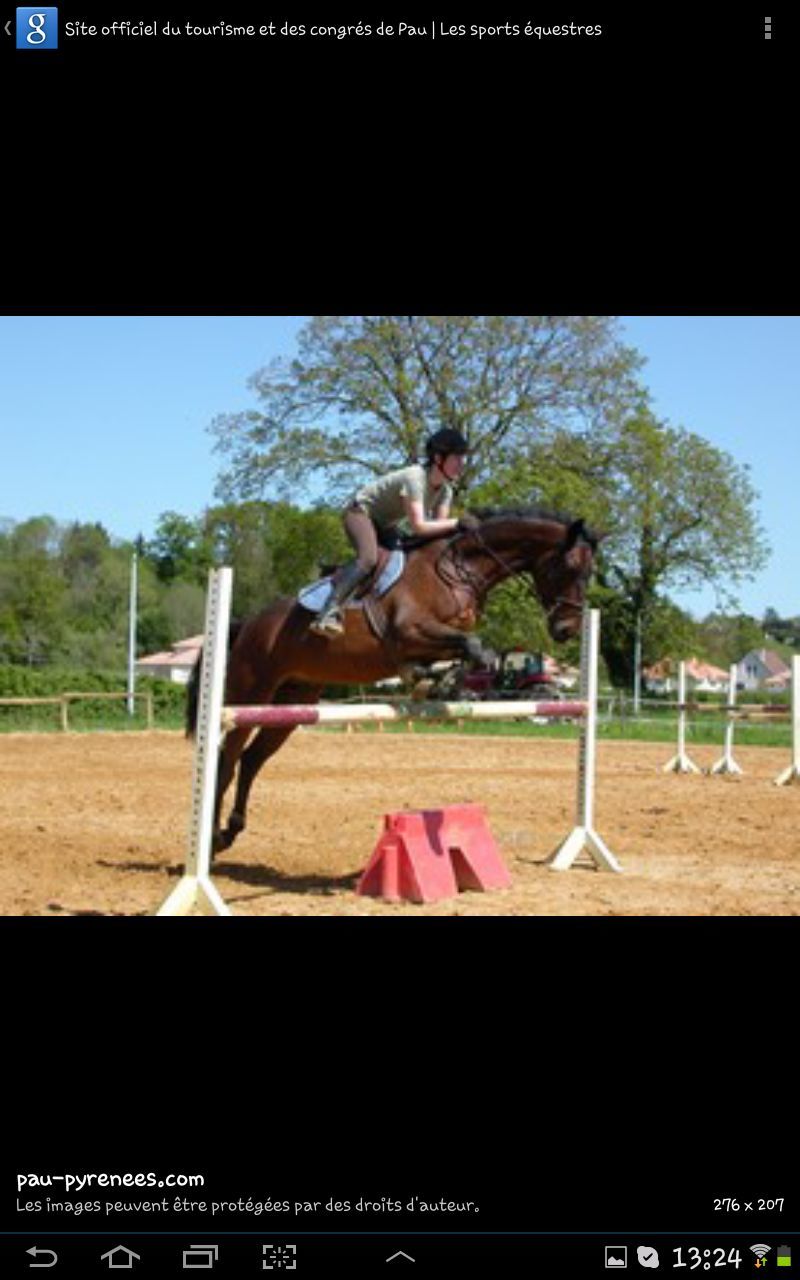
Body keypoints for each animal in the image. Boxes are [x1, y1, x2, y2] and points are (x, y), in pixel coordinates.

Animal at [185, 504, 599, 855]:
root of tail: (248, 623)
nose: (567, 629)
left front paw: (431, 680)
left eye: (589, 574)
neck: (458, 568)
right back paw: (211, 839)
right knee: (227, 759)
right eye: (569, 567)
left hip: (292, 703)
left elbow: (474, 650)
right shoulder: (408, 631)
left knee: (252, 759)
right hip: (247, 694)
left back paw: (231, 829)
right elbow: (475, 647)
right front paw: (428, 679)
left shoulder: (437, 637)